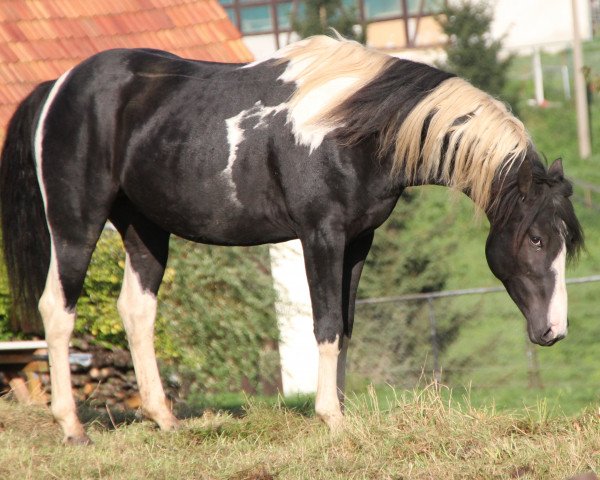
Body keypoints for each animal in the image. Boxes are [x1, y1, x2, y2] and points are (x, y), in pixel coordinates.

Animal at [0, 35, 580, 444]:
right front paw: (332, 419)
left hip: (145, 229)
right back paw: (73, 428)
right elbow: (324, 324)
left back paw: (165, 420)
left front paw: (341, 412)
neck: (354, 128)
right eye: (534, 239)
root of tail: (58, 87)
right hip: (75, 223)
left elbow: (345, 326)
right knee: (57, 309)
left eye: (563, 241)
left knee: (136, 311)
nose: (553, 331)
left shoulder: (359, 241)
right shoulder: (320, 235)